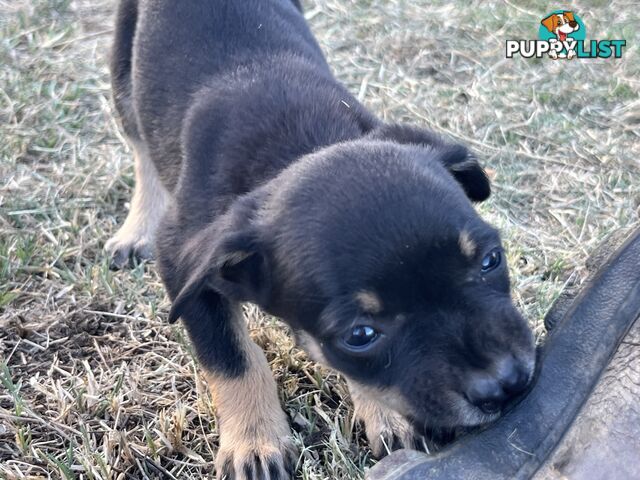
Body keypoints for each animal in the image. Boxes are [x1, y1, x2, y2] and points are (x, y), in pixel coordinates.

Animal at [107, 1, 536, 478]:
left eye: (491, 260)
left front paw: (385, 416)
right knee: (138, 145)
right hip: (123, 69)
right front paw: (255, 442)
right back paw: (136, 229)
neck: (297, 149)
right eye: (360, 334)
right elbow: (232, 357)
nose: (506, 384)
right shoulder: (183, 265)